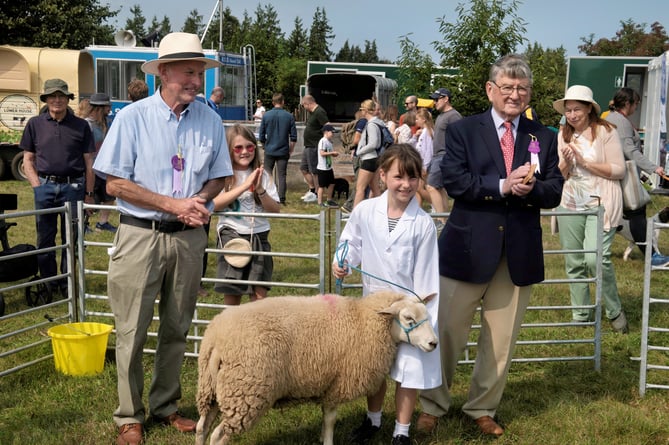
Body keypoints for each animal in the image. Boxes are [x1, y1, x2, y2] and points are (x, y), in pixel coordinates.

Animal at [193, 290, 438, 444]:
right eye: (408, 318)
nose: (433, 343)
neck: (363, 319)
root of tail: (217, 340)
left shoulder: (328, 383)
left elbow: (325, 418)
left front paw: (321, 437)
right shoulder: (337, 385)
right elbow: (330, 420)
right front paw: (327, 441)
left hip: (211, 389)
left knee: (201, 427)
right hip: (245, 393)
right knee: (218, 436)